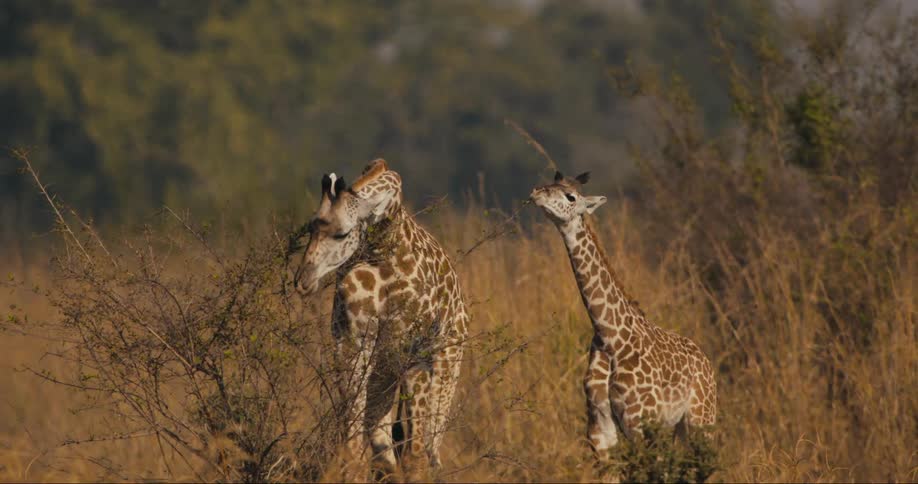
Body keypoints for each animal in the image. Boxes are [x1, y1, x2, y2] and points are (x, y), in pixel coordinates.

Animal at [286, 159, 468, 481]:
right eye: (311, 227)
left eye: (342, 233)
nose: (302, 281)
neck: (383, 249)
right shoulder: (353, 342)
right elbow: (360, 446)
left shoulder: (413, 352)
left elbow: (415, 456)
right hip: (384, 370)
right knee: (385, 448)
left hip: (447, 363)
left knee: (431, 450)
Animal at [529, 171, 716, 461]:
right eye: (550, 185)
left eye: (570, 196)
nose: (536, 192)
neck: (609, 337)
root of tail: (707, 364)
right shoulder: (599, 426)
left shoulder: (641, 423)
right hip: (680, 428)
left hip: (702, 419)